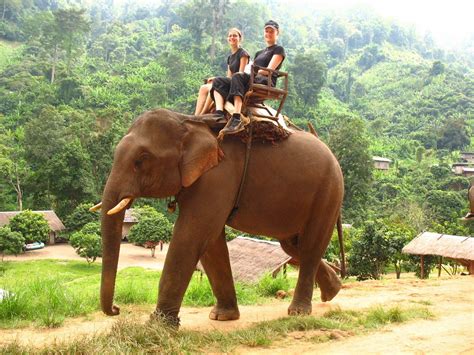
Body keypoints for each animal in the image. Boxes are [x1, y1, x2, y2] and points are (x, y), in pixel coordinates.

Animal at [98, 109, 342, 326]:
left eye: (141, 159)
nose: (117, 309)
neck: (188, 121)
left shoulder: (218, 177)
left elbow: (194, 234)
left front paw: (159, 325)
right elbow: (212, 242)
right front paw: (222, 317)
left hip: (329, 192)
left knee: (310, 246)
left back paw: (299, 312)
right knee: (292, 246)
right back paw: (332, 291)